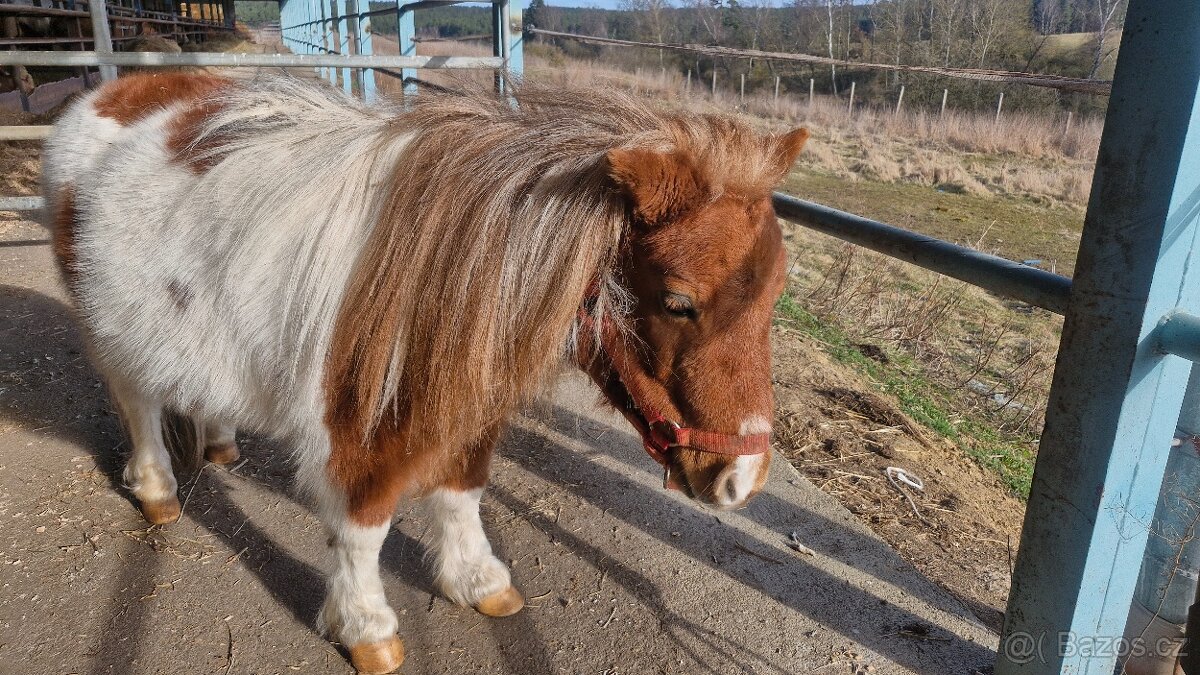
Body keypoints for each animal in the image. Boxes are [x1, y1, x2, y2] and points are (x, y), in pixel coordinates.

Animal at [44, 70, 806, 667]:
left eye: (776, 293)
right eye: (678, 301)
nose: (744, 479)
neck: (445, 271)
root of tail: (107, 93)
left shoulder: (465, 402)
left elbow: (462, 491)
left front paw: (479, 581)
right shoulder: (357, 429)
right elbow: (363, 528)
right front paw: (366, 628)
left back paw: (221, 441)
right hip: (111, 331)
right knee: (138, 403)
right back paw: (156, 490)